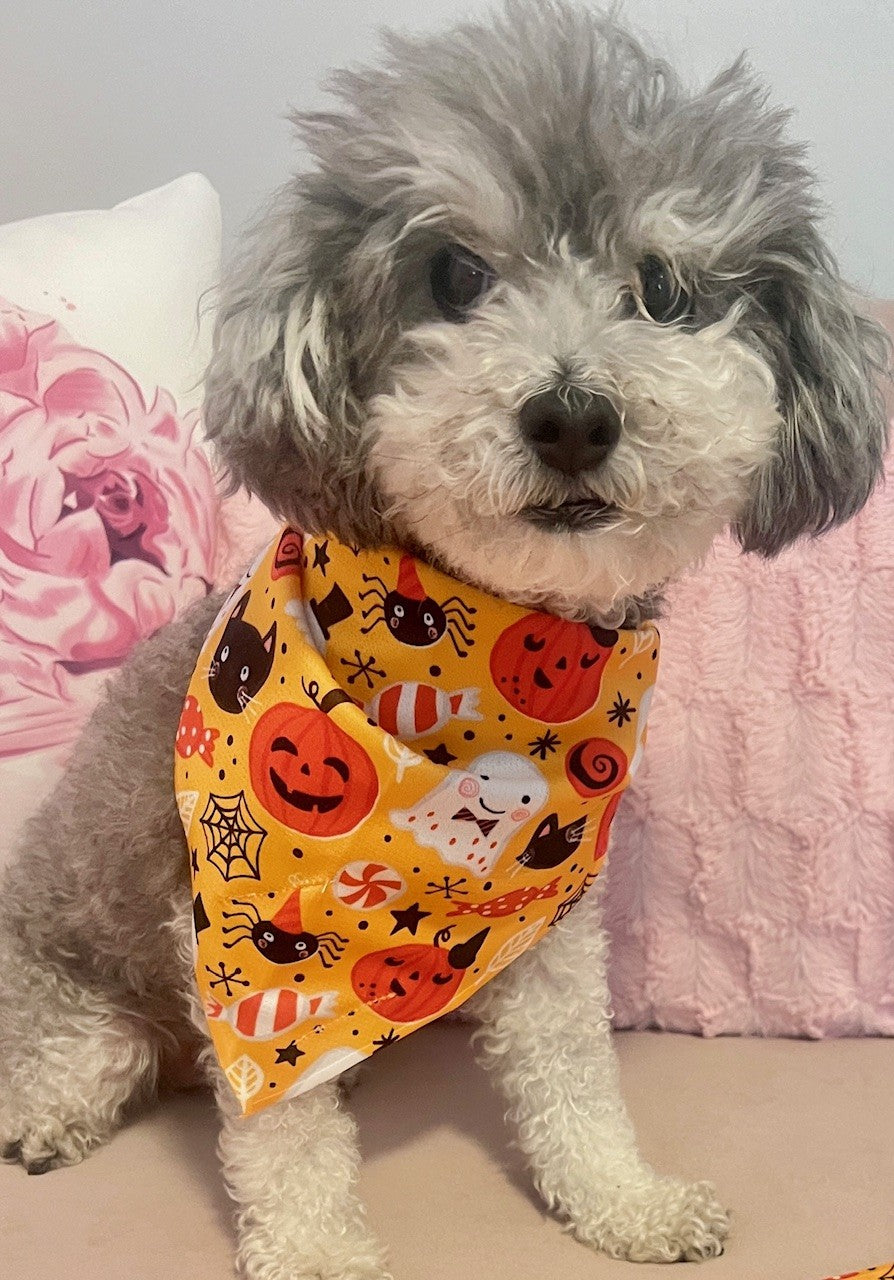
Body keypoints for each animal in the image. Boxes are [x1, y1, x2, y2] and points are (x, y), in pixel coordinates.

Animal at [0, 5, 886, 1274]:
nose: (572, 416)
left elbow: (574, 1076)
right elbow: (281, 1134)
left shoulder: (550, 919)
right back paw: (49, 1115)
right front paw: (317, 1252)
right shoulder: (234, 945)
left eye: (663, 289)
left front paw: (625, 1198)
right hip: (89, 993)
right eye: (457, 275)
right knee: (84, 1058)